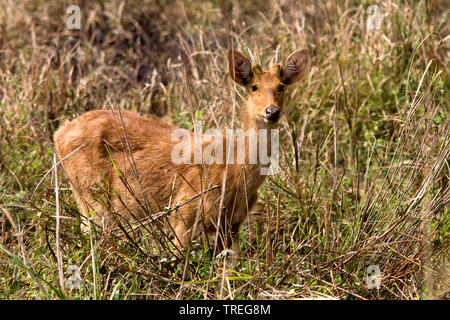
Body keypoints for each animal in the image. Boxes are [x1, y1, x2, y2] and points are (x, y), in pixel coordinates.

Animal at [53, 48, 310, 252]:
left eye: (281, 86)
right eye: (254, 87)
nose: (272, 111)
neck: (234, 173)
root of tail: (59, 133)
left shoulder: (232, 225)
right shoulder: (183, 212)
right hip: (90, 195)